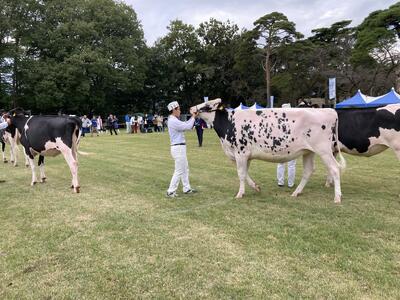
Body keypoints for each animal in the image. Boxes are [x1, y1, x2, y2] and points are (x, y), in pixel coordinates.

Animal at [192, 99, 346, 204]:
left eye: (207, 105)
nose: (192, 108)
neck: (229, 123)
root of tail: (329, 110)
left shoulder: (241, 153)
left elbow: (241, 174)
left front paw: (240, 194)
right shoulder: (246, 156)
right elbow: (246, 174)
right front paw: (256, 187)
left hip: (324, 150)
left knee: (334, 168)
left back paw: (337, 197)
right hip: (309, 151)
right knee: (308, 171)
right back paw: (296, 192)